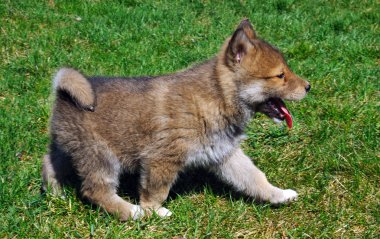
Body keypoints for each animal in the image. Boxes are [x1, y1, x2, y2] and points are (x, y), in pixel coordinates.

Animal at [43, 19, 312, 220]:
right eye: (280, 75)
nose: (309, 86)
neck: (217, 97)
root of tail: (63, 93)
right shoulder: (162, 159)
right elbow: (156, 192)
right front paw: (153, 212)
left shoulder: (227, 153)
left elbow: (255, 178)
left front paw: (278, 195)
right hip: (101, 157)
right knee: (95, 191)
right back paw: (133, 213)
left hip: (70, 149)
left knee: (50, 163)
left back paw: (54, 193)